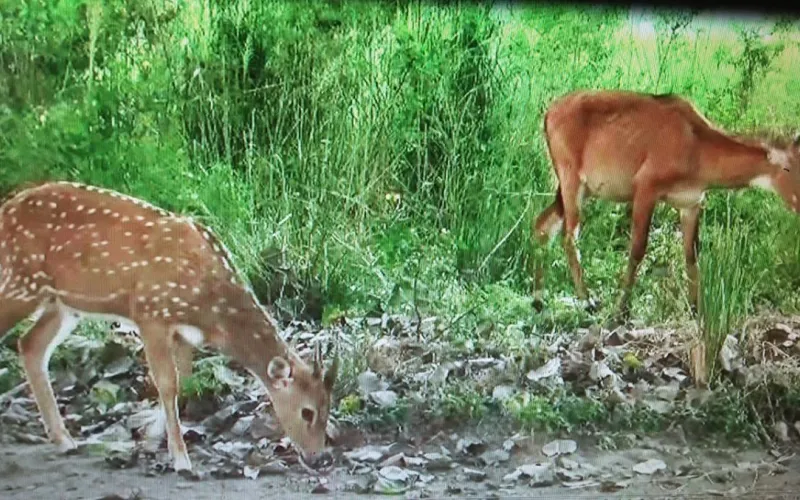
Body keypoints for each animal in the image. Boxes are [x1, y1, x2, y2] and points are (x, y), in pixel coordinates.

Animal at [0, 181, 338, 473]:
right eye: (307, 412)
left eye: (328, 409)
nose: (317, 457)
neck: (210, 306)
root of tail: (6, 208)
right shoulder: (150, 313)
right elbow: (167, 383)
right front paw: (180, 459)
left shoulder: (182, 334)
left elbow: (183, 382)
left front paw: (154, 440)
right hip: (19, 283)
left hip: (61, 304)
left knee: (30, 346)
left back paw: (64, 439)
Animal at [532, 89, 800, 323]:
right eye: (788, 168)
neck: (696, 144)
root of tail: (549, 112)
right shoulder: (645, 190)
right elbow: (637, 249)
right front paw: (621, 310)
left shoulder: (691, 203)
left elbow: (691, 255)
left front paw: (695, 308)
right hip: (571, 182)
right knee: (569, 237)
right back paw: (587, 300)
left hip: (576, 190)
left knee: (542, 225)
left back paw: (538, 300)